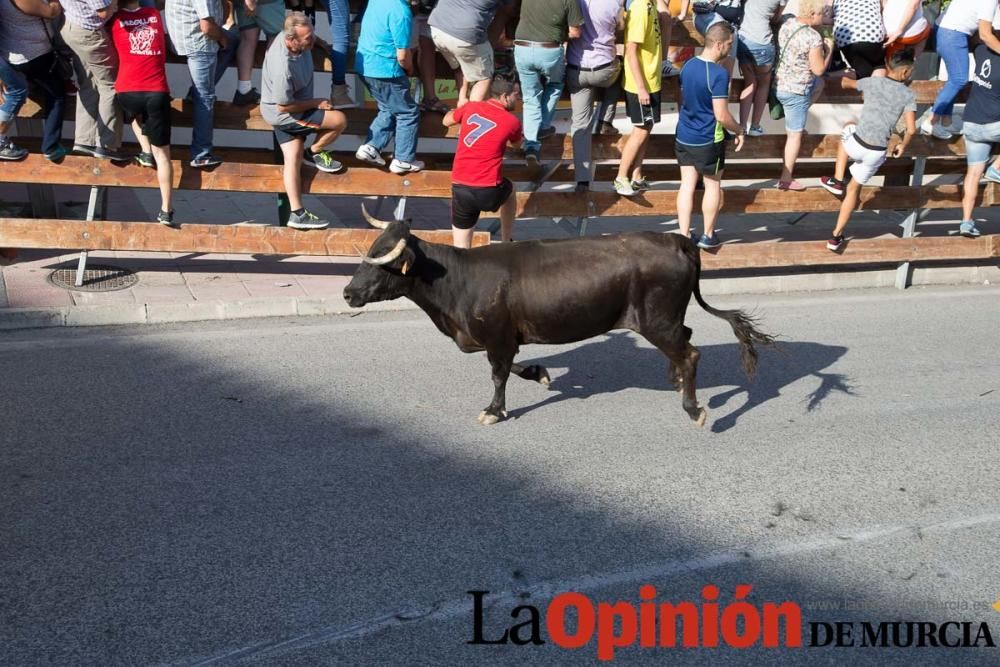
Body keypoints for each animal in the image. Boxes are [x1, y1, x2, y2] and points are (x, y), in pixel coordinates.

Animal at [348, 207, 776, 428]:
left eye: (384, 262)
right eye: (371, 251)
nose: (348, 293)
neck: (457, 281)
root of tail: (677, 240)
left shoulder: (497, 337)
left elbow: (498, 375)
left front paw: (494, 410)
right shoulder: (503, 338)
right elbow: (514, 366)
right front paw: (540, 373)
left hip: (656, 319)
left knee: (690, 352)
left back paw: (694, 408)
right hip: (667, 317)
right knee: (684, 341)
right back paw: (676, 382)